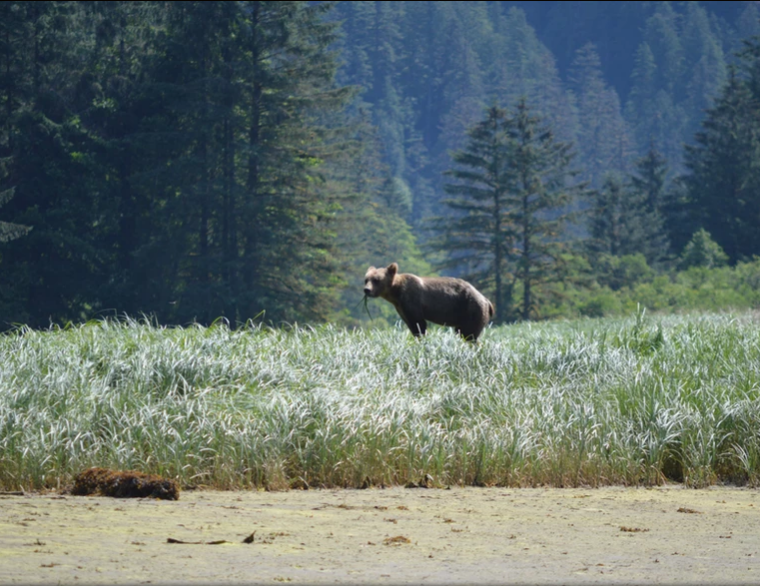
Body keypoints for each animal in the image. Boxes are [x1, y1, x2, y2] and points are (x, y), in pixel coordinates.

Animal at [366, 262, 496, 340]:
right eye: (366, 279)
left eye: (376, 280)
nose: (366, 290)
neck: (396, 293)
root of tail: (487, 301)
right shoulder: (401, 307)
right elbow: (411, 324)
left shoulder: (412, 300)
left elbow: (419, 323)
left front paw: (422, 338)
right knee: (461, 332)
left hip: (472, 309)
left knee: (469, 333)